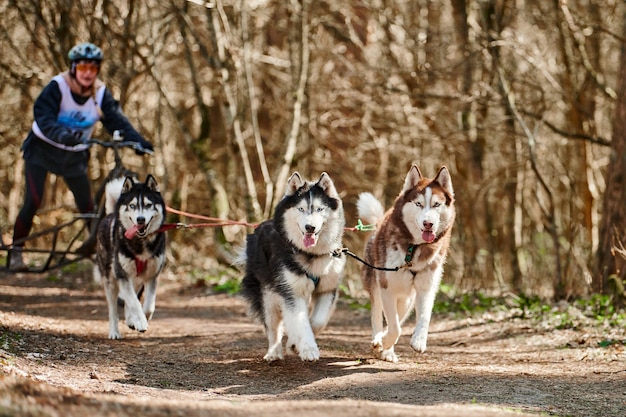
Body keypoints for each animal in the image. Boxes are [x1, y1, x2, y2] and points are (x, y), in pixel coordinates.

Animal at [92, 174, 165, 340]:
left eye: (148, 205)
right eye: (132, 205)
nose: (140, 219)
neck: (141, 242)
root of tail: (110, 215)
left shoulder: (152, 276)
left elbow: (148, 305)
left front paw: (140, 319)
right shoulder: (122, 275)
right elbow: (134, 302)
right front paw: (141, 322)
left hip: (135, 279)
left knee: (129, 300)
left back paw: (131, 320)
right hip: (111, 280)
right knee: (114, 309)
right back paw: (114, 332)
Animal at [239, 172, 346, 360]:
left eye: (320, 209)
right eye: (301, 209)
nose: (310, 227)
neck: (311, 254)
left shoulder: (327, 289)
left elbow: (316, 322)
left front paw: (296, 344)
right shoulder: (291, 291)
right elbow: (300, 322)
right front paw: (308, 348)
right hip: (268, 295)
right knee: (272, 326)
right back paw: (273, 353)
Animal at [356, 166, 454, 360]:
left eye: (436, 205)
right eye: (418, 204)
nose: (428, 223)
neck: (414, 248)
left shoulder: (426, 286)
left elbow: (423, 316)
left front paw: (418, 341)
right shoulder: (387, 287)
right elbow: (395, 327)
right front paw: (384, 341)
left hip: (407, 297)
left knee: (399, 315)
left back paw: (387, 352)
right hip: (376, 283)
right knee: (378, 315)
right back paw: (378, 340)